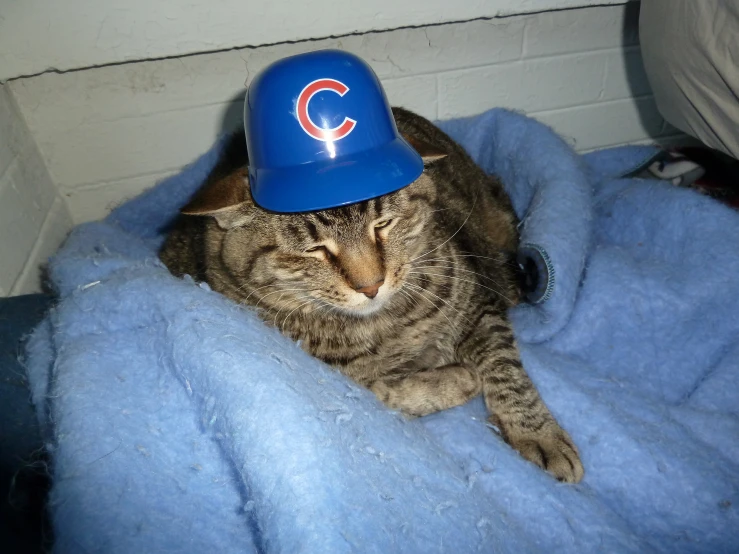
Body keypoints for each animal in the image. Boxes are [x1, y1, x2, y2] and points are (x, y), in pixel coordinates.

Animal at [160, 106, 584, 478]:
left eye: (383, 225)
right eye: (315, 250)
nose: (371, 285)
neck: (387, 323)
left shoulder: (480, 301)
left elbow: (505, 370)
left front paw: (538, 433)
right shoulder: (331, 376)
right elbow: (385, 392)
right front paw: (457, 379)